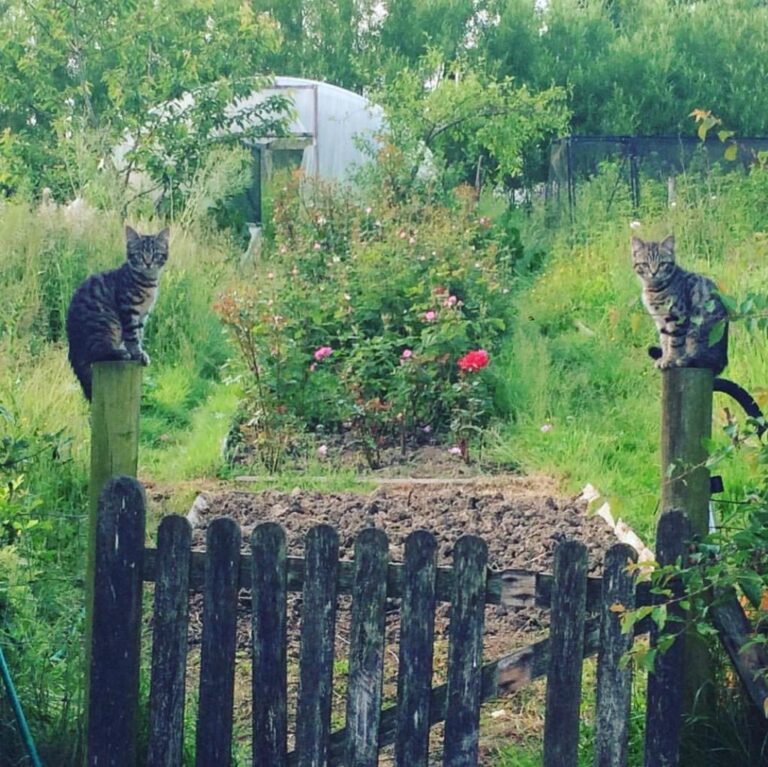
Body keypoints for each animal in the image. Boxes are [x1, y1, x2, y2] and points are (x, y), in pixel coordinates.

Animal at [66, 225, 169, 401]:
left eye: (155, 254)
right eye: (140, 254)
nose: (148, 263)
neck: (148, 283)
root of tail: (74, 350)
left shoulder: (142, 315)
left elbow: (139, 334)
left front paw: (140, 353)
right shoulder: (129, 309)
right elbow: (132, 336)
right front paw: (136, 353)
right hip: (106, 324)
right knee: (96, 353)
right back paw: (120, 353)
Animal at [631, 234, 728, 376]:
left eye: (662, 264)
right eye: (645, 264)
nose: (654, 273)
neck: (655, 289)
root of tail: (723, 363)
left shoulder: (678, 317)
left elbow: (674, 342)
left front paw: (670, 360)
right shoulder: (660, 320)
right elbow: (664, 340)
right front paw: (664, 358)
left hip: (697, 333)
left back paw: (685, 360)